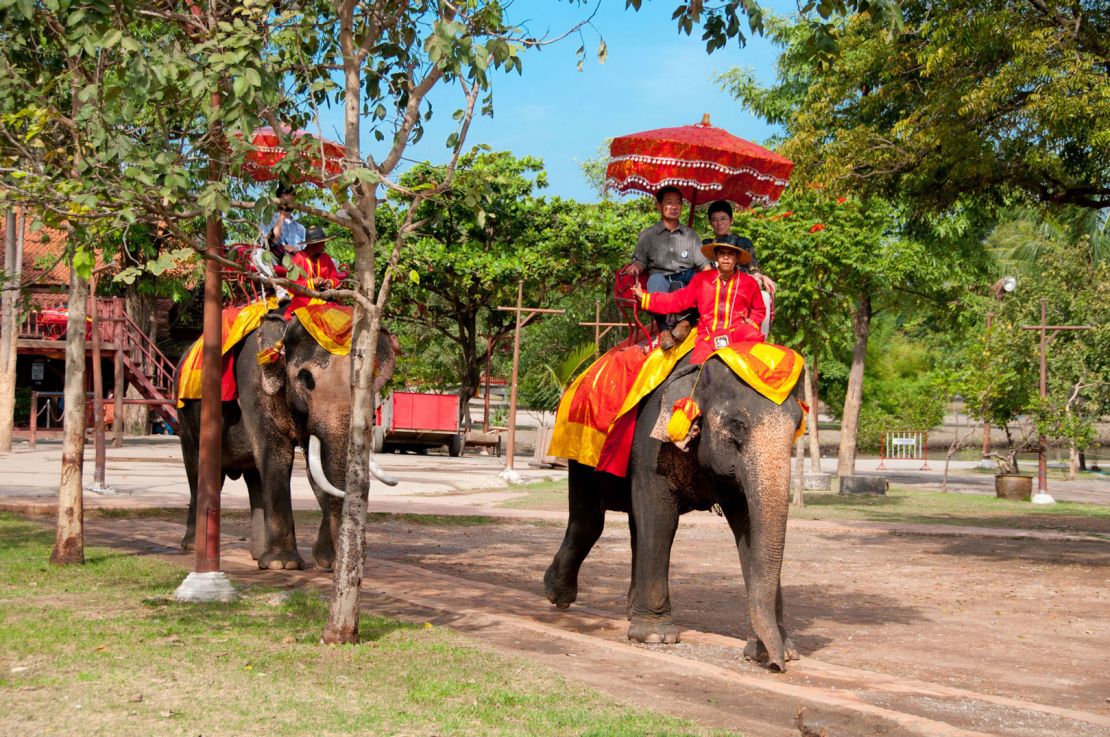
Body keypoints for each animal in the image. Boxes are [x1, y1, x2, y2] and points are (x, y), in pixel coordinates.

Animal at [175, 310, 397, 568]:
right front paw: (283, 564)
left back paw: (258, 555)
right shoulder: (255, 384)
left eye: (368, 382)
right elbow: (278, 455)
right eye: (306, 379)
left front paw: (327, 561)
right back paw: (192, 546)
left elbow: (315, 469)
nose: (339, 561)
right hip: (186, 419)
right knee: (198, 471)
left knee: (255, 476)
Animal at [541, 357, 803, 674]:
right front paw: (655, 636)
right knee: (589, 520)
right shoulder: (650, 446)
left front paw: (781, 650)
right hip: (580, 450)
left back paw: (630, 610)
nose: (776, 665)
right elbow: (660, 517)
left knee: (632, 526)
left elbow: (750, 528)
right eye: (737, 424)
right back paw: (557, 595)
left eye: (798, 425)